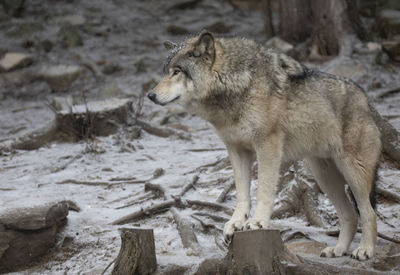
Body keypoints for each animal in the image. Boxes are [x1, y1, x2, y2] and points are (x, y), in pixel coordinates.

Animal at [147, 30, 382, 260]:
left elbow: (263, 190)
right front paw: (235, 224)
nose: (150, 95)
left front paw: (257, 222)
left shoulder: (267, 146)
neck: (236, 85)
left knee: (368, 212)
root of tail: (367, 101)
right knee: (350, 215)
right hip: (324, 177)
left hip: (352, 172)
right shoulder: (236, 149)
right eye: (165, 72)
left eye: (177, 72)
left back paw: (365, 250)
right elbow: (242, 193)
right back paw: (338, 250)